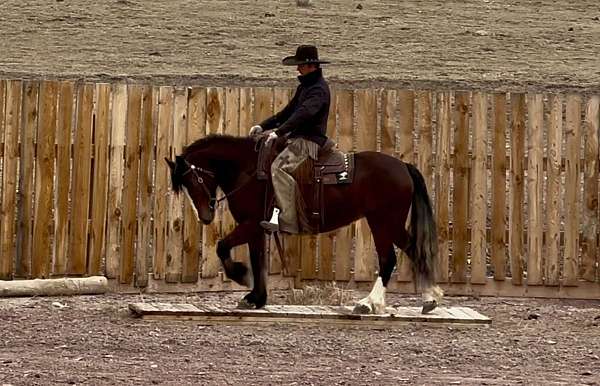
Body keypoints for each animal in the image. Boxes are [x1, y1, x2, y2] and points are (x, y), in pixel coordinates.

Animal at [166, 134, 442, 316]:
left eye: (193, 179)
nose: (205, 216)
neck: (250, 170)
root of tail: (403, 166)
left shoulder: (251, 224)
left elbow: (223, 247)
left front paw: (241, 276)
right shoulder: (257, 228)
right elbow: (258, 260)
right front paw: (256, 298)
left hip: (383, 222)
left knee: (391, 258)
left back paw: (370, 302)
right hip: (388, 224)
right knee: (410, 252)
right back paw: (428, 298)